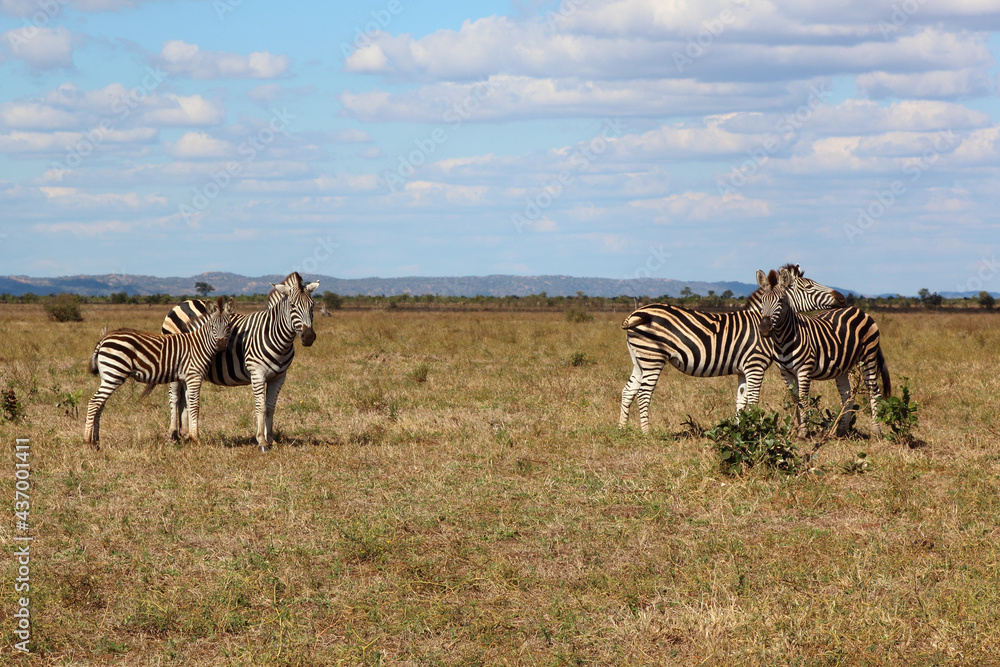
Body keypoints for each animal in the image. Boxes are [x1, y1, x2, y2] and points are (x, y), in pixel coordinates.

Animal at [85, 296, 235, 447]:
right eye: (213, 327)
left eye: (228, 326)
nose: (221, 346)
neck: (199, 344)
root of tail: (104, 339)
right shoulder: (194, 376)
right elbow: (195, 405)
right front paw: (196, 438)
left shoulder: (186, 377)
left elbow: (188, 403)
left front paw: (190, 436)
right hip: (114, 373)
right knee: (94, 402)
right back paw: (87, 440)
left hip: (108, 376)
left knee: (100, 404)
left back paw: (96, 440)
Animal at [155, 272, 319, 450]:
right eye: (292, 306)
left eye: (312, 306)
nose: (309, 337)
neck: (276, 337)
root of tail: (183, 303)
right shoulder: (257, 374)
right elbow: (261, 407)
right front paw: (262, 440)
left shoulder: (279, 377)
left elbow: (270, 407)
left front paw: (271, 439)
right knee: (175, 397)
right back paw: (173, 435)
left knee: (185, 397)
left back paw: (185, 434)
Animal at [619, 264, 845, 433]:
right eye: (809, 287)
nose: (842, 298)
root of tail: (636, 312)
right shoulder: (755, 366)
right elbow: (753, 400)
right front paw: (756, 431)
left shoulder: (743, 370)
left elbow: (740, 401)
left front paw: (741, 429)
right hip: (653, 359)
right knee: (643, 394)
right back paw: (646, 432)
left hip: (639, 360)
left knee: (628, 390)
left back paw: (622, 429)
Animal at [756, 267, 891, 438]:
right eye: (762, 301)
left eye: (780, 301)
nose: (764, 328)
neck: (783, 339)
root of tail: (859, 310)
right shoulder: (785, 373)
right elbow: (795, 400)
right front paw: (798, 429)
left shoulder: (804, 370)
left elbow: (803, 400)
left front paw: (803, 433)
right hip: (843, 366)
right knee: (847, 395)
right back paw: (840, 431)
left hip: (868, 357)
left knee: (874, 391)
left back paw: (876, 431)